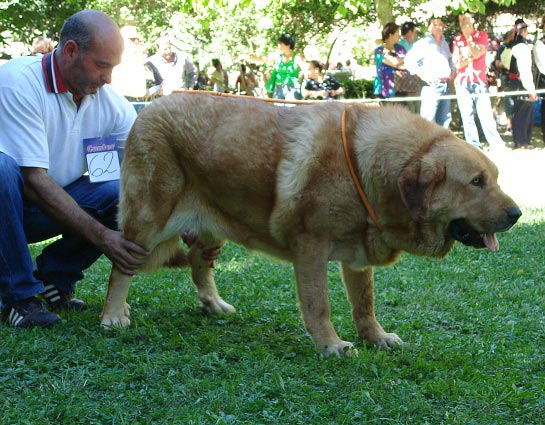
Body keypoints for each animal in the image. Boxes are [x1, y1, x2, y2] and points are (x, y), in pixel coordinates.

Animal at [100, 94, 520, 356]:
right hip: (148, 220)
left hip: (211, 229)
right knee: (121, 268)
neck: (366, 169)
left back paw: (213, 304)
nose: (516, 214)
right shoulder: (312, 248)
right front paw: (330, 345)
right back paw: (113, 314)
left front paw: (375, 338)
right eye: (476, 182)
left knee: (198, 265)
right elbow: (320, 306)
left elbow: (364, 305)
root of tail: (148, 107)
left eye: (496, 178)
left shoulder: (358, 257)